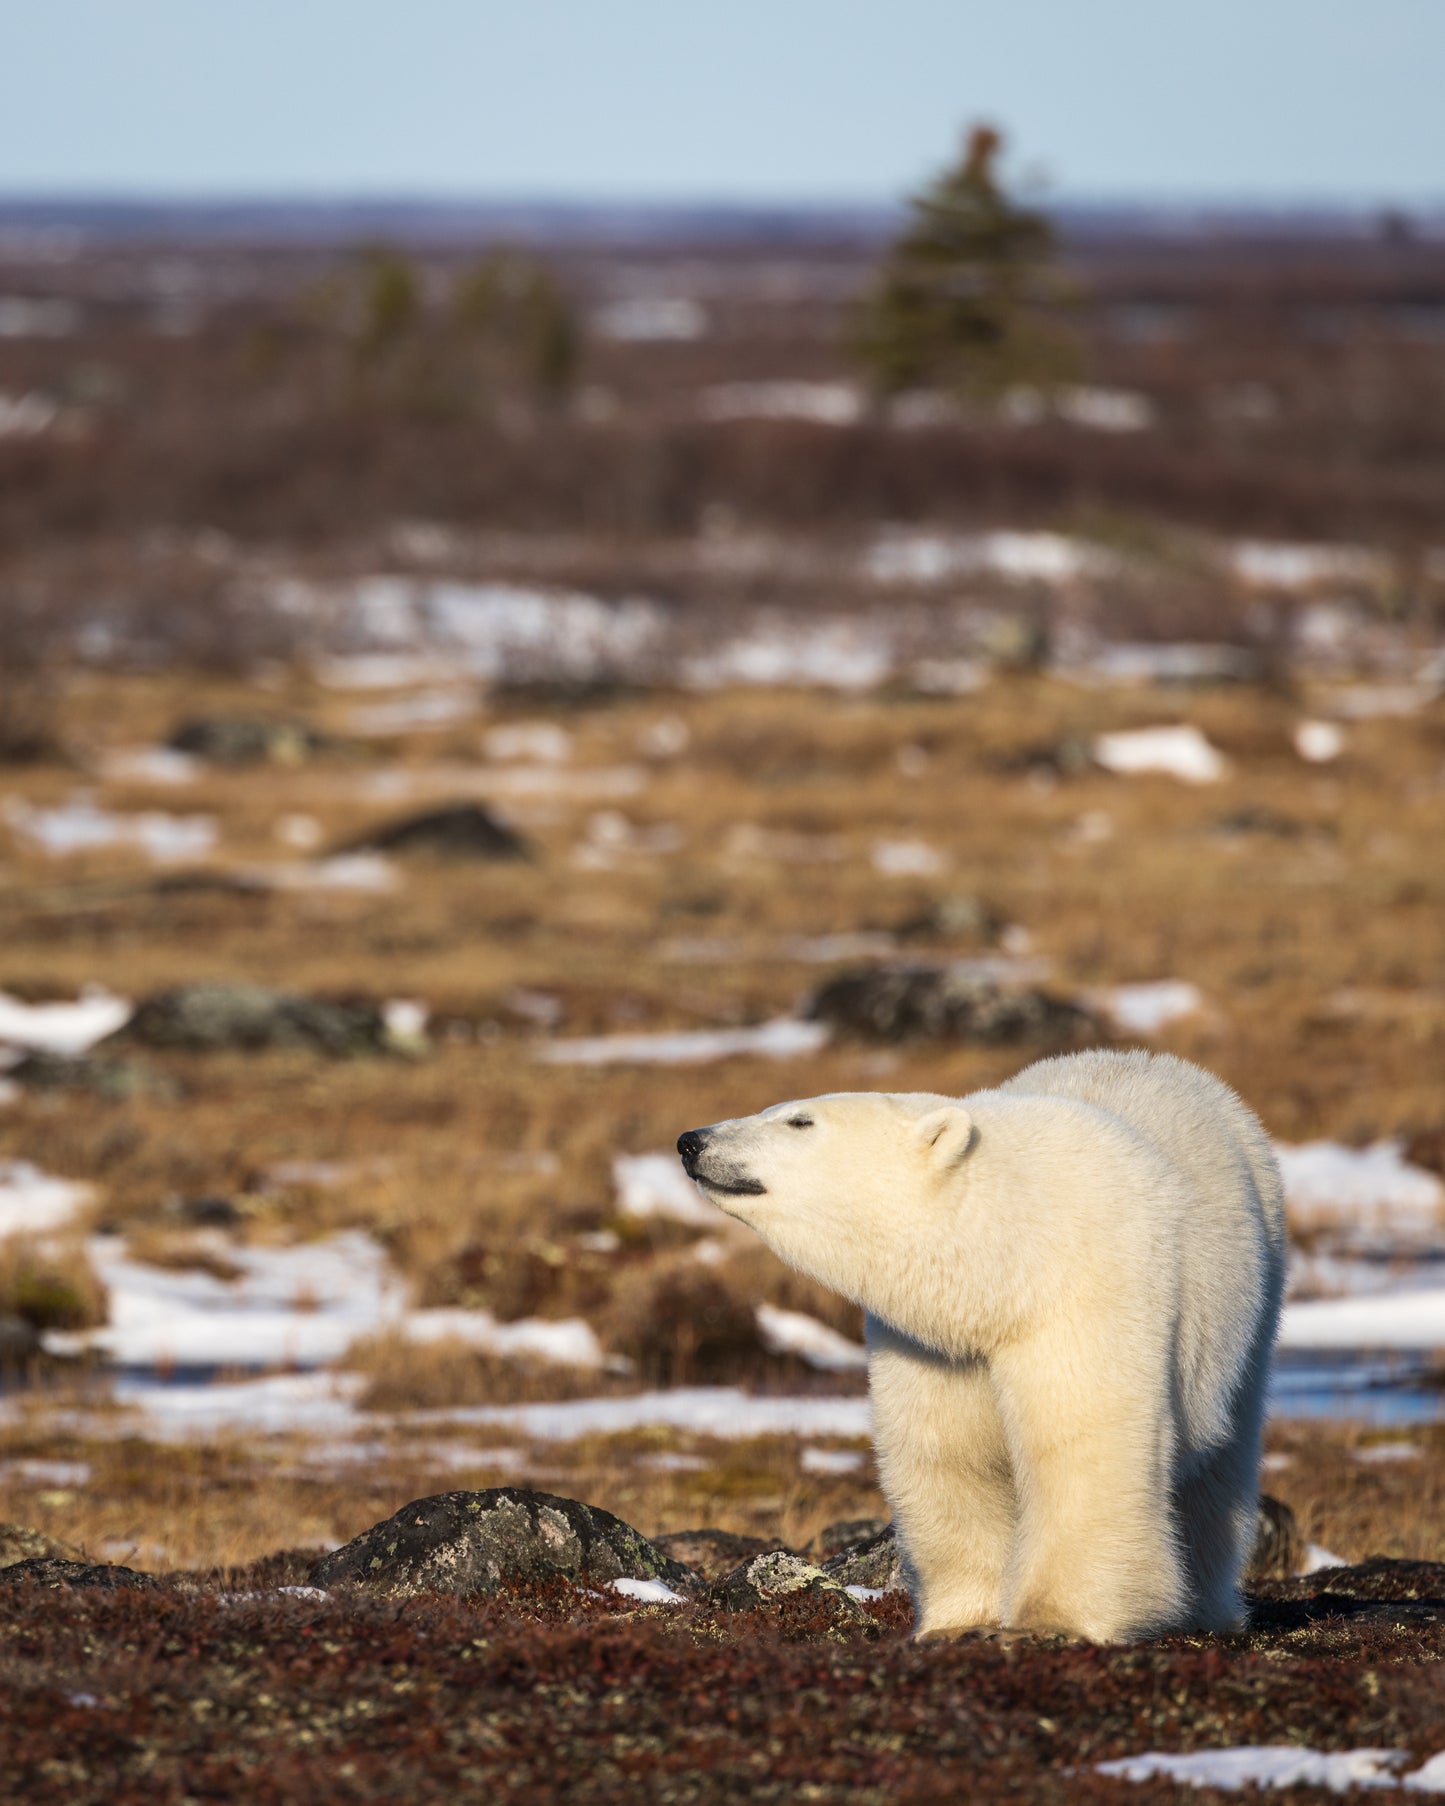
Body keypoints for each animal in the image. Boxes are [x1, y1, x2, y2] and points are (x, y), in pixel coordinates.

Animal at [679, 1047, 1286, 1654]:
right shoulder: (935, 1345)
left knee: (1221, 1464)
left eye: (799, 1121)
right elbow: (947, 1453)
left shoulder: (1086, 1294)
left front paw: (1052, 1620)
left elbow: (1082, 1446)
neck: (1012, 1252)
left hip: (1250, 1294)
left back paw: (1207, 1606)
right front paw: (961, 1620)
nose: (691, 1140)